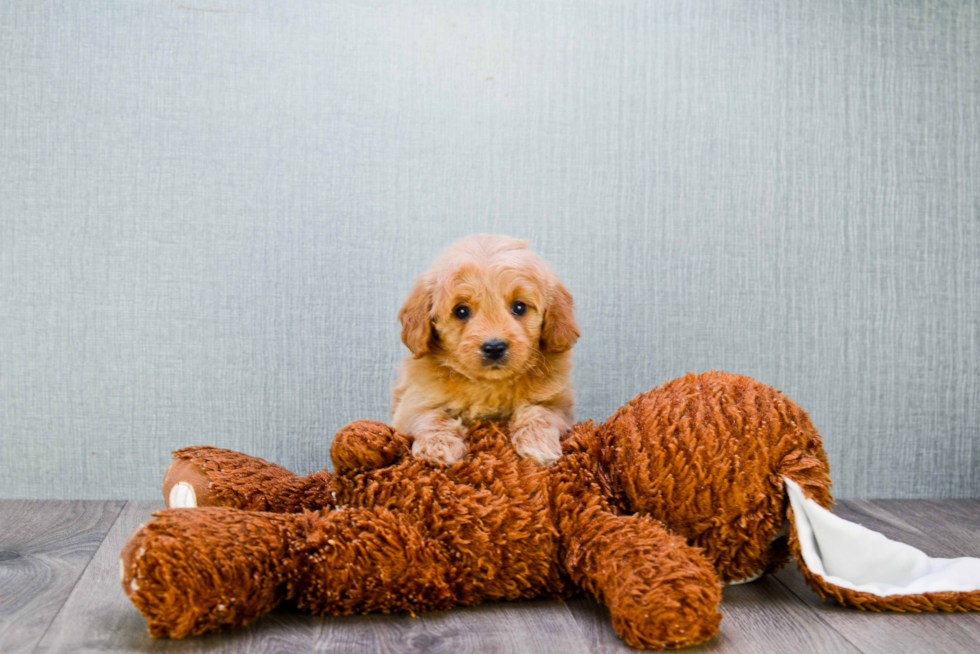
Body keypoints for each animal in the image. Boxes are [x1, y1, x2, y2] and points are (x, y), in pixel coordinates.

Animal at [392, 234, 580, 466]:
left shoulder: (560, 407)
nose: (494, 347)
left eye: (519, 307)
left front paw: (538, 444)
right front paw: (438, 447)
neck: (490, 385)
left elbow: (539, 412)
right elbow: (432, 417)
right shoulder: (410, 407)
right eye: (461, 311)